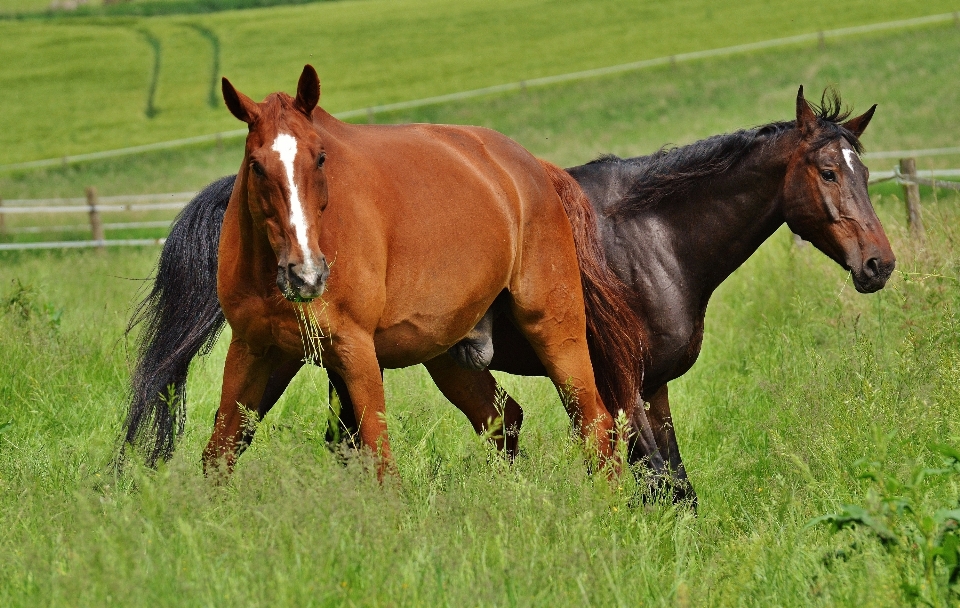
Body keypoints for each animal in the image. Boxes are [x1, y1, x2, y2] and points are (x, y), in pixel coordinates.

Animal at [122, 65, 644, 476]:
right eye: (256, 165)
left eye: (320, 157)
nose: (306, 275)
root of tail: (531, 166)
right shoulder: (253, 349)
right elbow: (220, 452)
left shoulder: (355, 352)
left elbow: (379, 461)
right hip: (449, 353)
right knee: (503, 420)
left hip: (554, 327)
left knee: (595, 424)